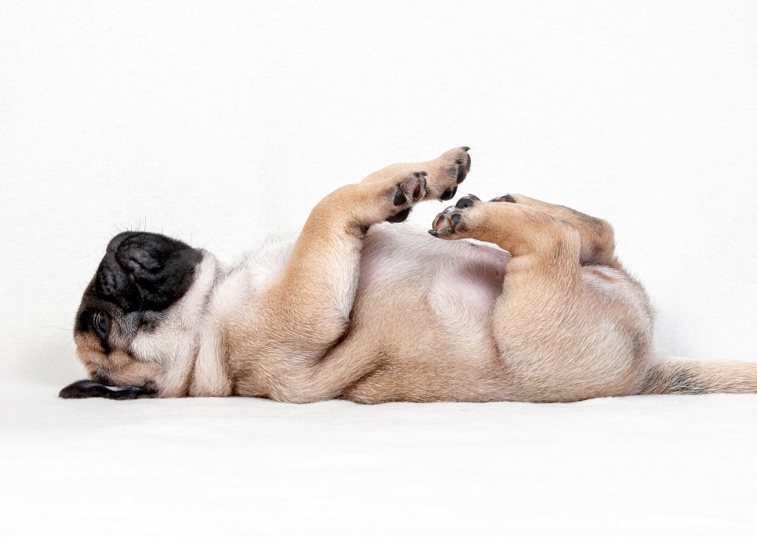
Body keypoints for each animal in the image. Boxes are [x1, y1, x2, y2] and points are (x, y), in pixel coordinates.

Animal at [60, 147, 757, 402]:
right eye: (102, 322)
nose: (112, 252)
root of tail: (643, 371)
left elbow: (336, 198)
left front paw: (427, 170)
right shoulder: (302, 299)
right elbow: (329, 206)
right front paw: (398, 188)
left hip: (596, 267)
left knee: (599, 233)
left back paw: (494, 197)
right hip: (533, 312)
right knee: (553, 243)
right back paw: (478, 215)